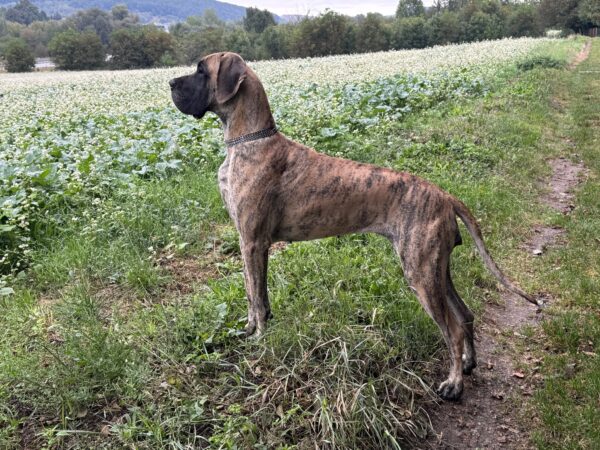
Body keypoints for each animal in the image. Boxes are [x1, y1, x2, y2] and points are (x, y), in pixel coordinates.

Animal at [166, 52, 536, 400]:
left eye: (201, 70)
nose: (170, 83)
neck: (248, 139)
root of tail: (445, 195)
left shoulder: (253, 241)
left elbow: (257, 297)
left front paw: (258, 341)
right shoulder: (251, 243)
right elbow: (252, 294)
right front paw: (248, 330)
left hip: (420, 271)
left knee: (453, 330)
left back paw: (454, 384)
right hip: (437, 269)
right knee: (465, 315)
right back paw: (469, 364)